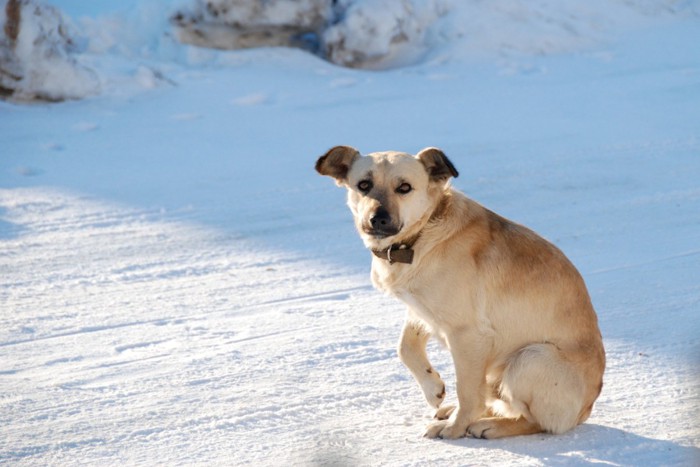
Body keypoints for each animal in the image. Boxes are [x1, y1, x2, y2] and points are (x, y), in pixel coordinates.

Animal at [314, 147, 604, 442]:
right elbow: (405, 347)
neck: (420, 236)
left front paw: (454, 428)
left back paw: (490, 425)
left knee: (535, 421)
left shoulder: (468, 335)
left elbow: (466, 390)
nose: (378, 219)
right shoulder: (420, 310)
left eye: (404, 188)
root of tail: (585, 410)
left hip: (531, 358)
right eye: (364, 185)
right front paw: (433, 389)